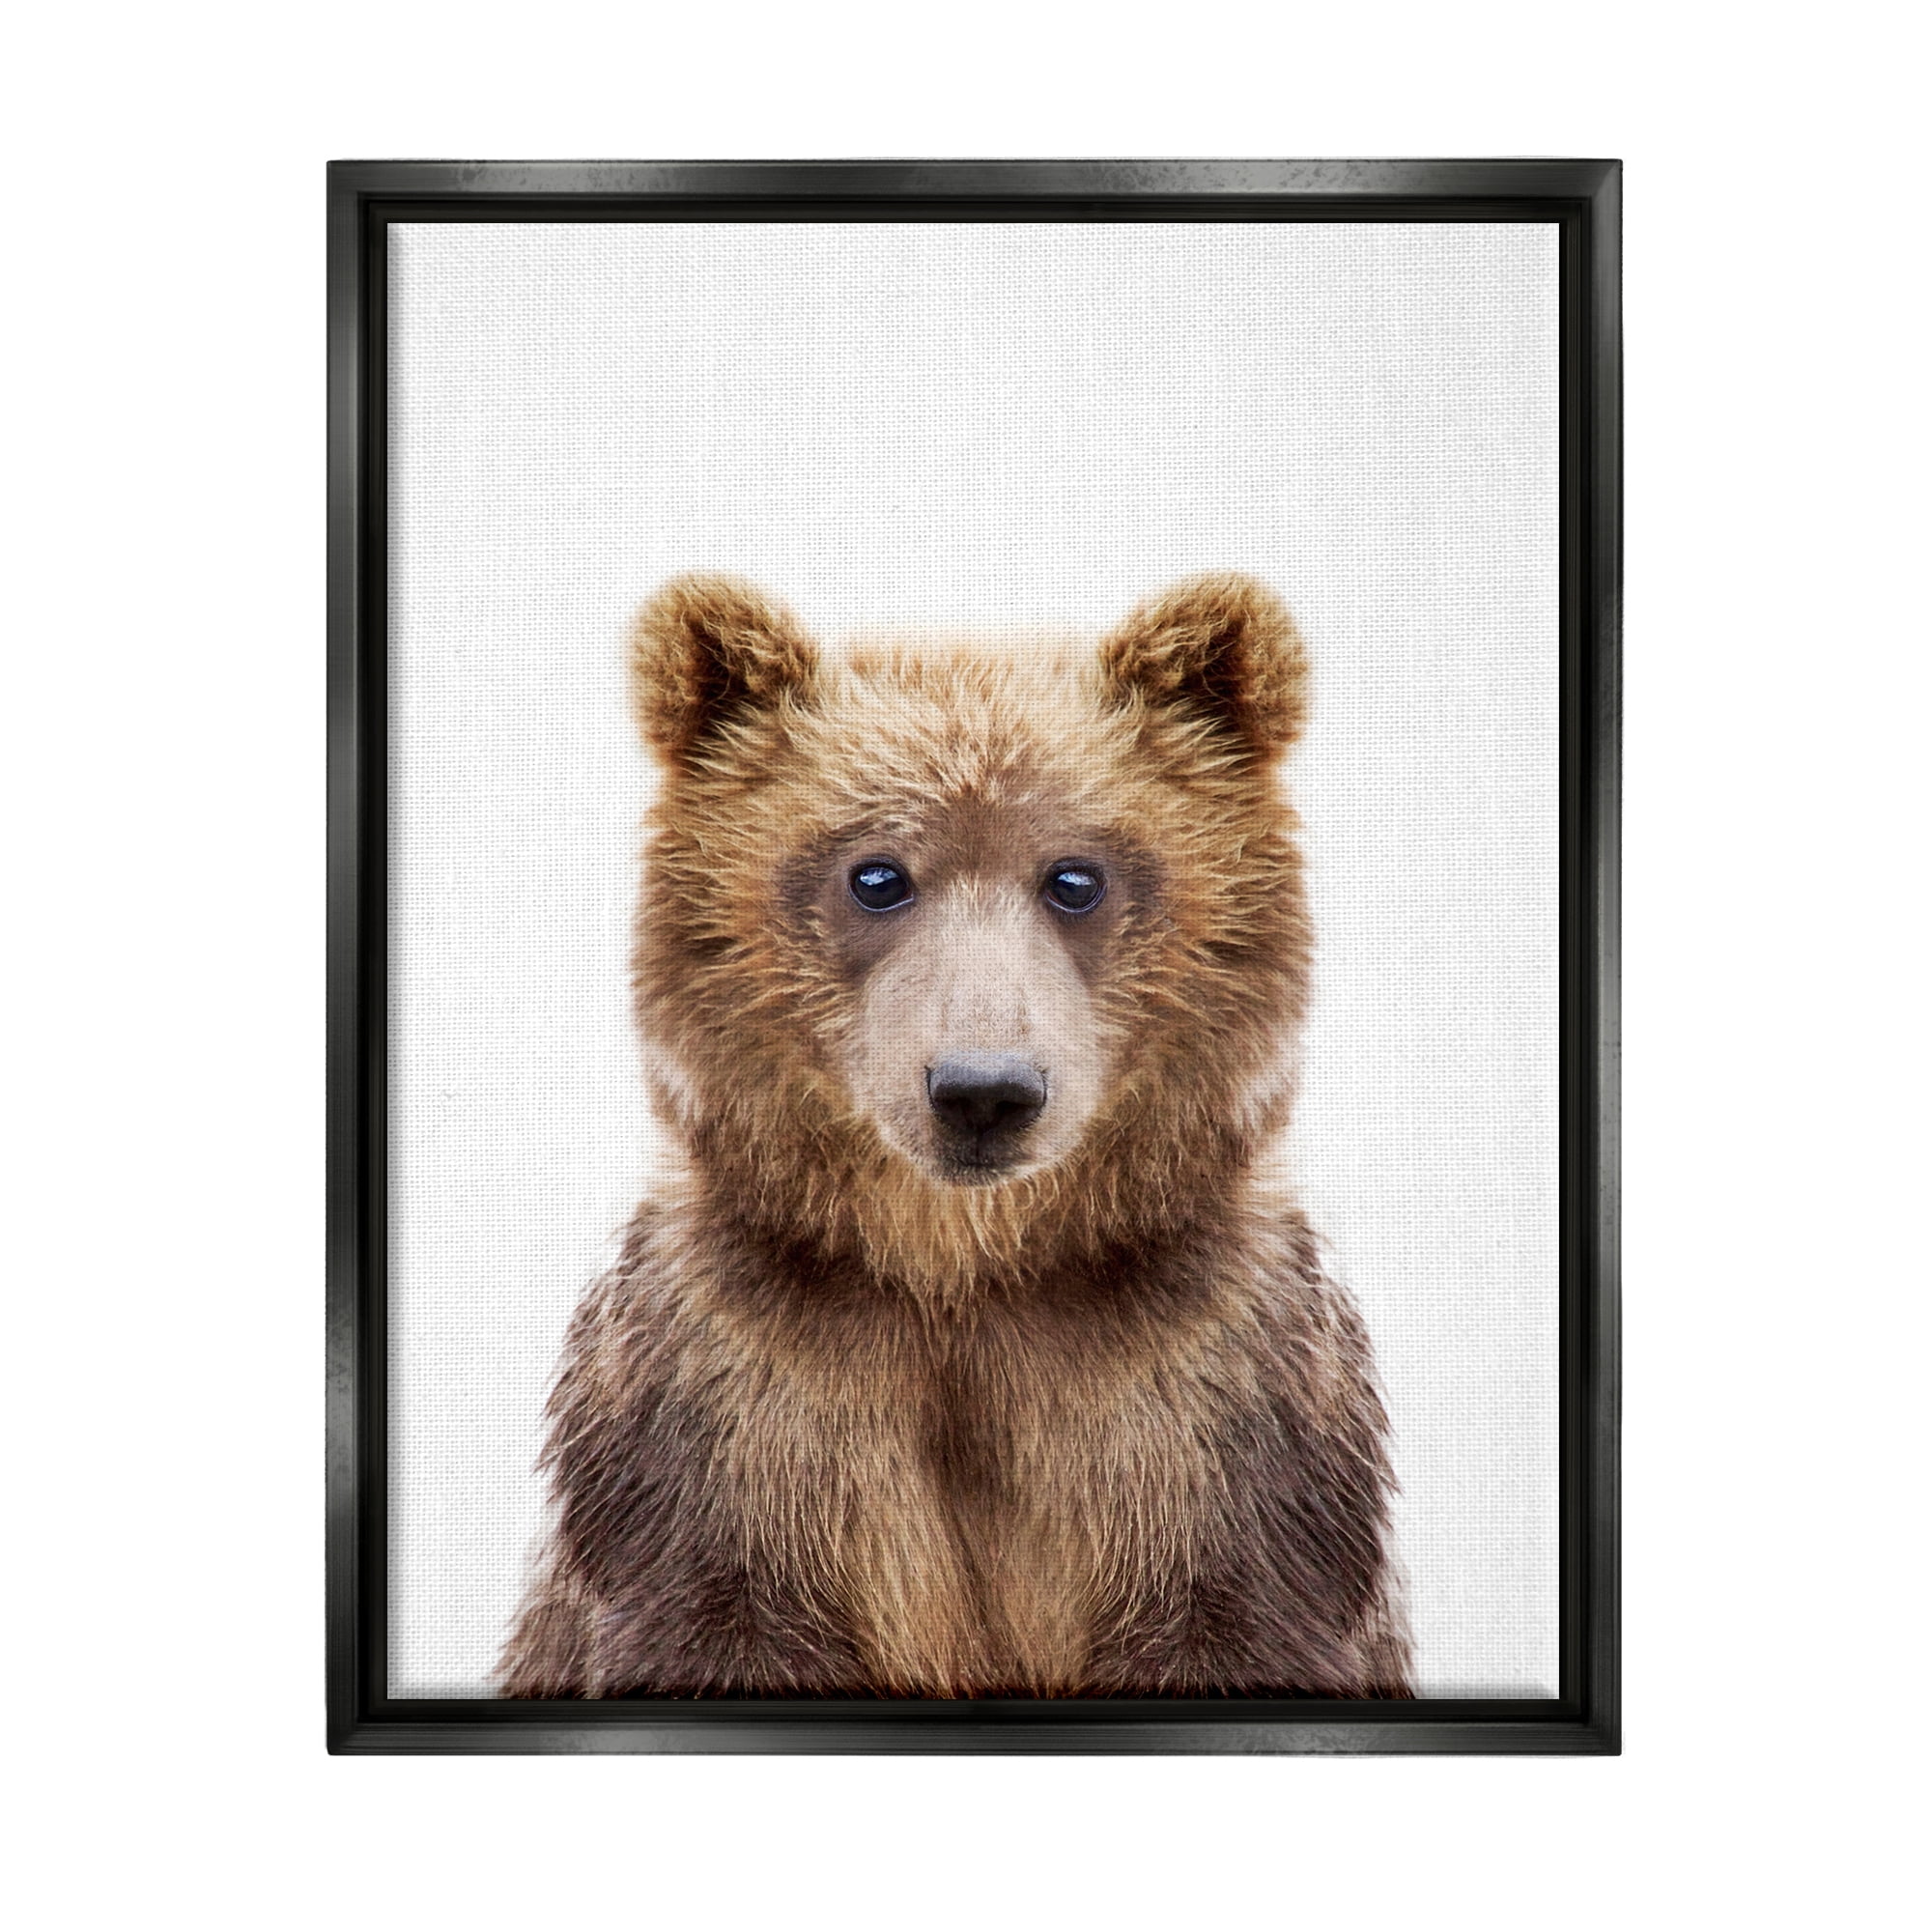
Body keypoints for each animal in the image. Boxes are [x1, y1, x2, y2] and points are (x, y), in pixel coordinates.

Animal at [498, 571, 1410, 1699]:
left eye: (1075, 875)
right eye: (876, 873)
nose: (982, 1090)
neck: (965, 1273)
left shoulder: (1210, 1408)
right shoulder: (731, 1408)